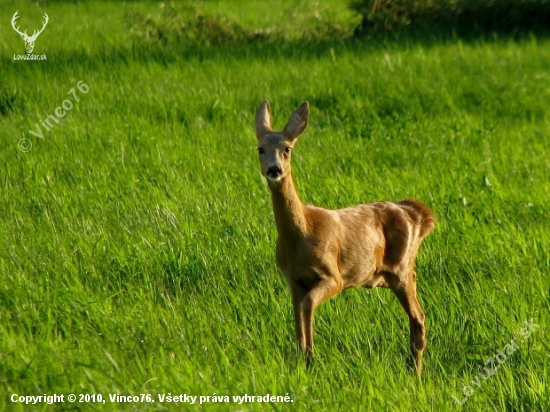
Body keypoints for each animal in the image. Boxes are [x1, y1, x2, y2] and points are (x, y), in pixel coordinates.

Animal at [256, 100, 438, 374]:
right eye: (260, 149)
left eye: (287, 149)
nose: (274, 170)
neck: (300, 235)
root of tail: (417, 215)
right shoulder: (293, 280)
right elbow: (297, 316)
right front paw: (303, 356)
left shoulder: (333, 275)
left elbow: (308, 305)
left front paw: (311, 358)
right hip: (386, 274)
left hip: (399, 268)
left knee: (419, 314)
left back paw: (415, 370)